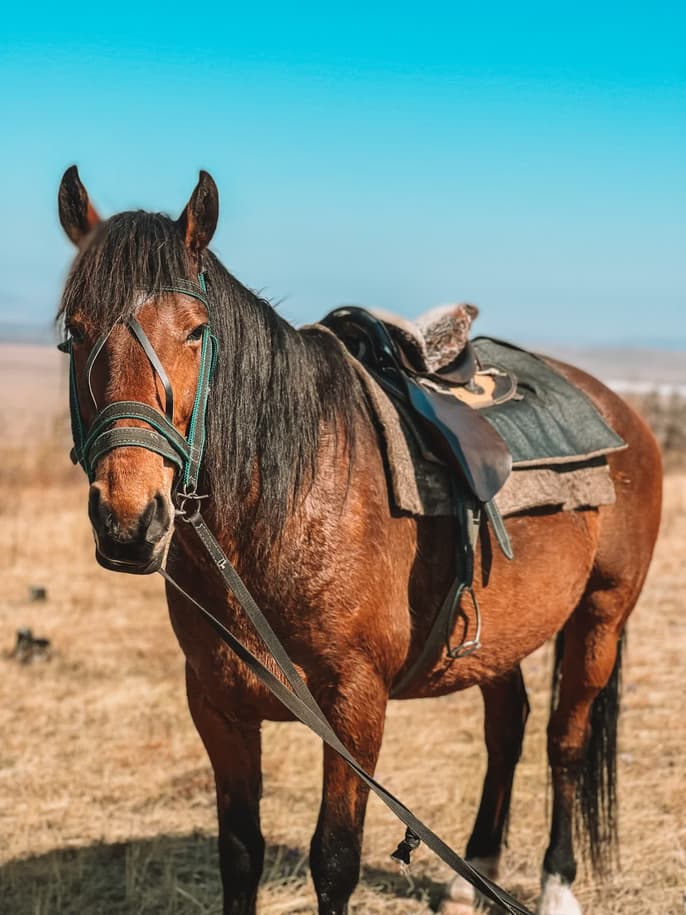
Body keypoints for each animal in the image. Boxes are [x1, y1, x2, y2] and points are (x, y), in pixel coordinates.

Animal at [57, 166, 660, 915]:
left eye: (196, 333)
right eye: (75, 331)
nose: (129, 520)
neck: (283, 510)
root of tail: (622, 412)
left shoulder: (354, 705)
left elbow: (335, 858)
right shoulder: (217, 705)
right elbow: (239, 851)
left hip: (601, 617)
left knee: (565, 742)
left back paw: (555, 886)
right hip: (502, 633)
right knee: (507, 729)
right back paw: (470, 876)